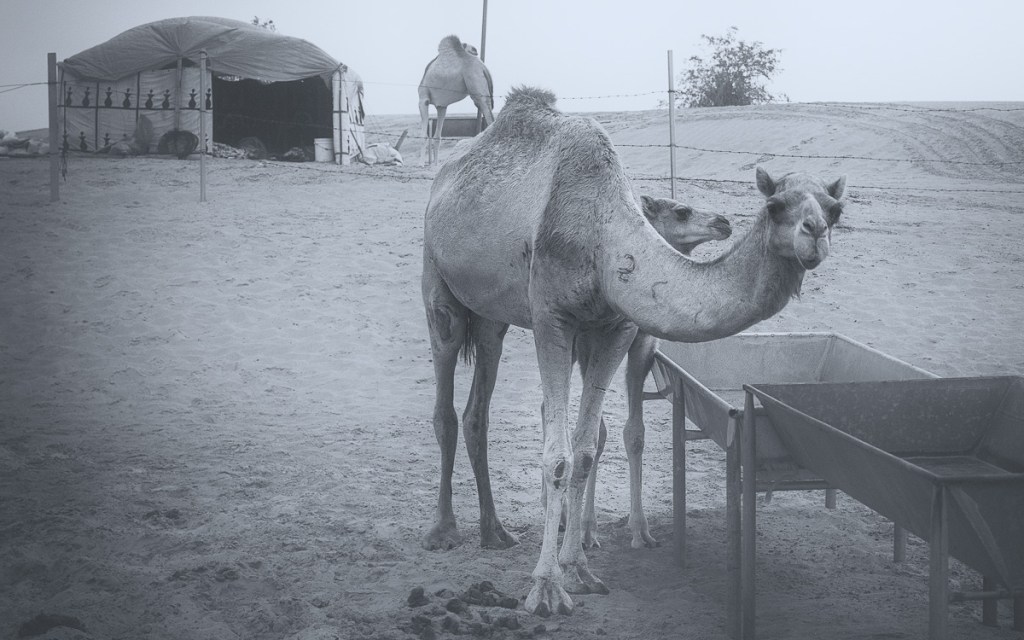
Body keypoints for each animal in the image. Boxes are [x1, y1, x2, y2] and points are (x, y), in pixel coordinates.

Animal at [418, 35, 494, 165]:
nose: (475, 49)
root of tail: (484, 67)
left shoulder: (423, 99)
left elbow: (423, 135)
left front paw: (421, 164)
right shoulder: (442, 106)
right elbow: (437, 137)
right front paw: (436, 165)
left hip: (476, 87)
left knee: (488, 116)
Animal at [421, 86, 845, 617]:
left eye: (835, 208)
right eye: (775, 205)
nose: (814, 234)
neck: (604, 240)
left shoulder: (616, 328)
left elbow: (585, 451)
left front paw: (580, 571)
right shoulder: (552, 317)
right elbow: (557, 457)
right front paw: (545, 588)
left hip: (492, 315)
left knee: (479, 402)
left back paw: (495, 532)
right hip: (438, 281)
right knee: (444, 392)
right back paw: (443, 531)